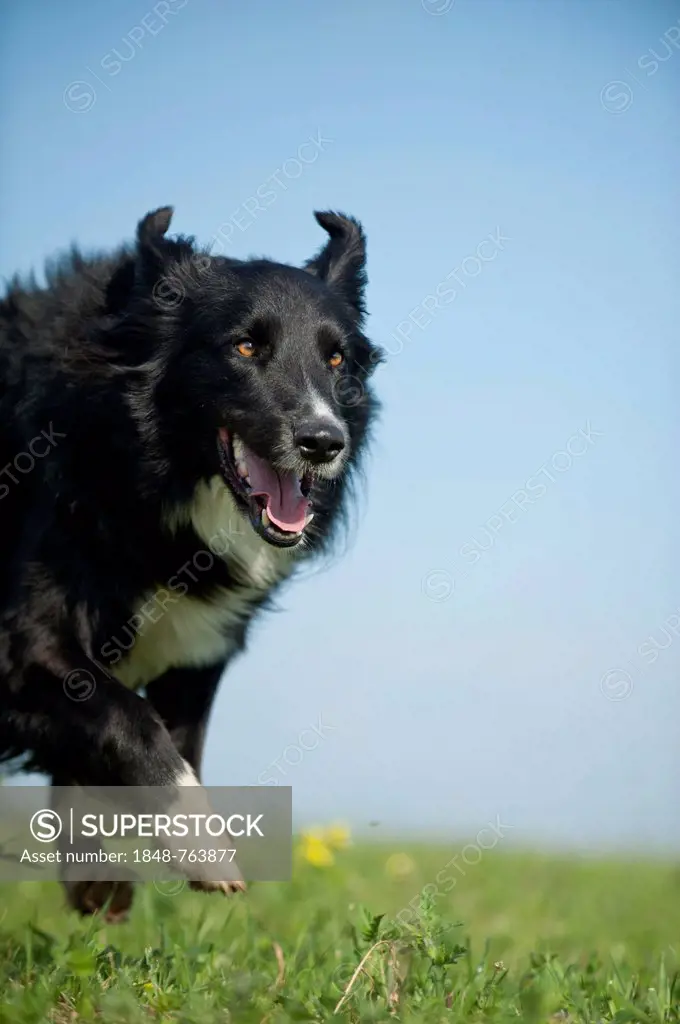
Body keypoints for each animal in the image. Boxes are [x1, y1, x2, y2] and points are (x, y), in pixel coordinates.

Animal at [0, 209, 383, 921]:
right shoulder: (23, 639)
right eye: (245, 348)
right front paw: (207, 851)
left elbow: (158, 735)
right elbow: (128, 718)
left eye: (336, 357)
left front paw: (99, 881)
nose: (324, 443)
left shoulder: (197, 654)